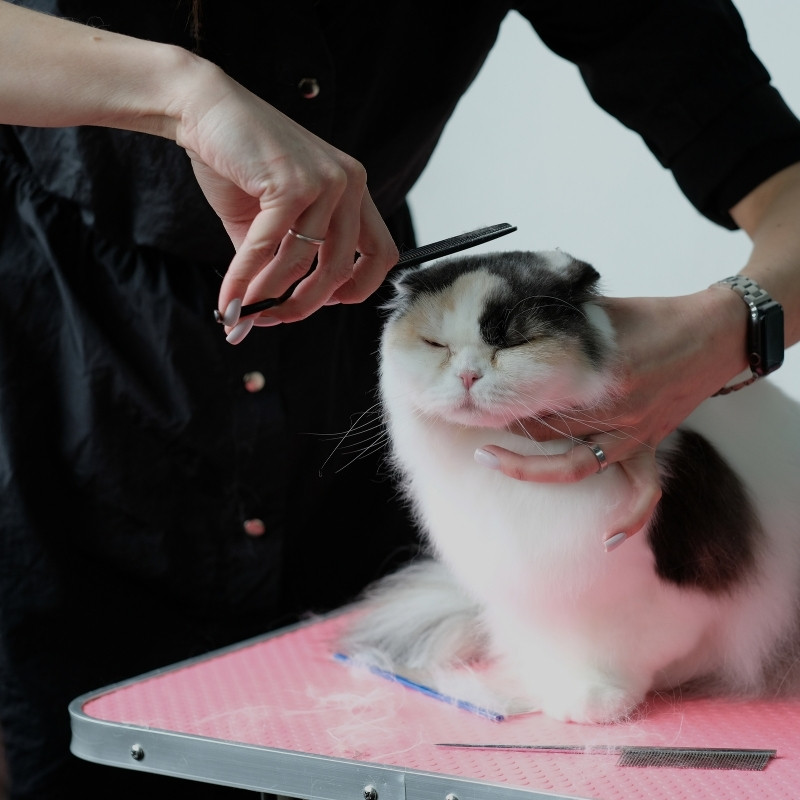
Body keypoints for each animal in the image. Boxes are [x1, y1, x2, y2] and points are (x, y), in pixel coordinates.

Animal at [336, 248, 800, 724]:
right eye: (436, 345)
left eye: (513, 343)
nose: (466, 375)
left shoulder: (657, 589)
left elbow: (631, 647)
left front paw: (598, 699)